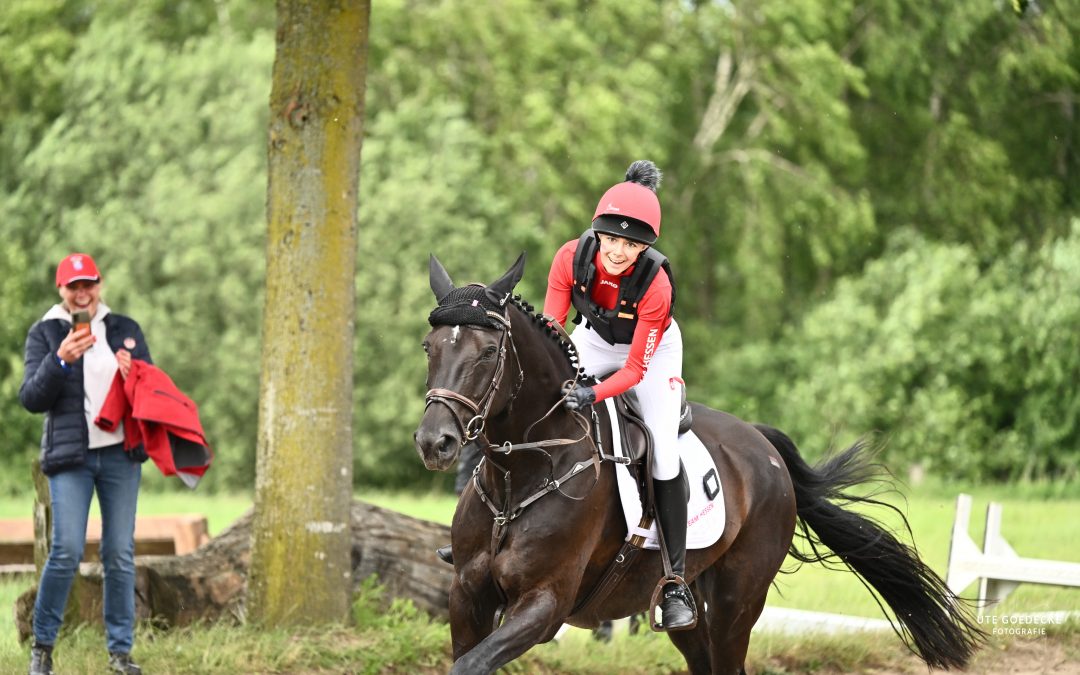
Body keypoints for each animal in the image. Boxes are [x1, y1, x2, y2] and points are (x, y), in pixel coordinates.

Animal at [414, 253, 984, 675]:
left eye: (489, 353)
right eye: (429, 346)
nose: (434, 442)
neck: (521, 477)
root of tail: (764, 448)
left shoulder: (544, 604)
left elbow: (470, 665)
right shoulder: (467, 596)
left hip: (737, 603)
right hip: (686, 611)